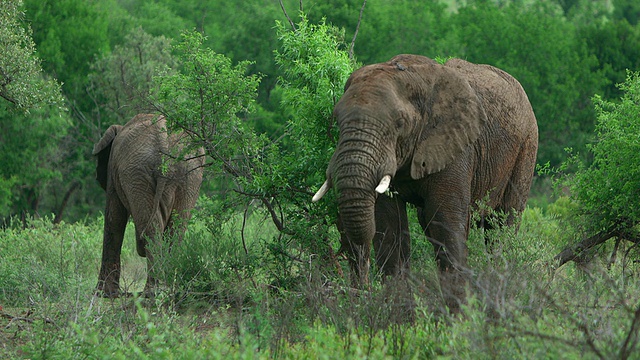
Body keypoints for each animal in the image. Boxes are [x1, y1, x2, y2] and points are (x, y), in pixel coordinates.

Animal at [90, 114, 202, 296]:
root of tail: (163, 135)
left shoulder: (113, 170)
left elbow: (114, 218)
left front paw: (103, 294)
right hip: (188, 172)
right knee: (176, 229)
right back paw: (167, 289)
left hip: (137, 171)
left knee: (152, 228)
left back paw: (152, 292)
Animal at [312, 54, 536, 312]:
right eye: (336, 121)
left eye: (399, 123)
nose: (360, 289)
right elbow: (389, 226)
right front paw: (400, 317)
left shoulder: (455, 145)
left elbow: (445, 224)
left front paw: (457, 319)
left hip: (527, 146)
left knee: (502, 227)